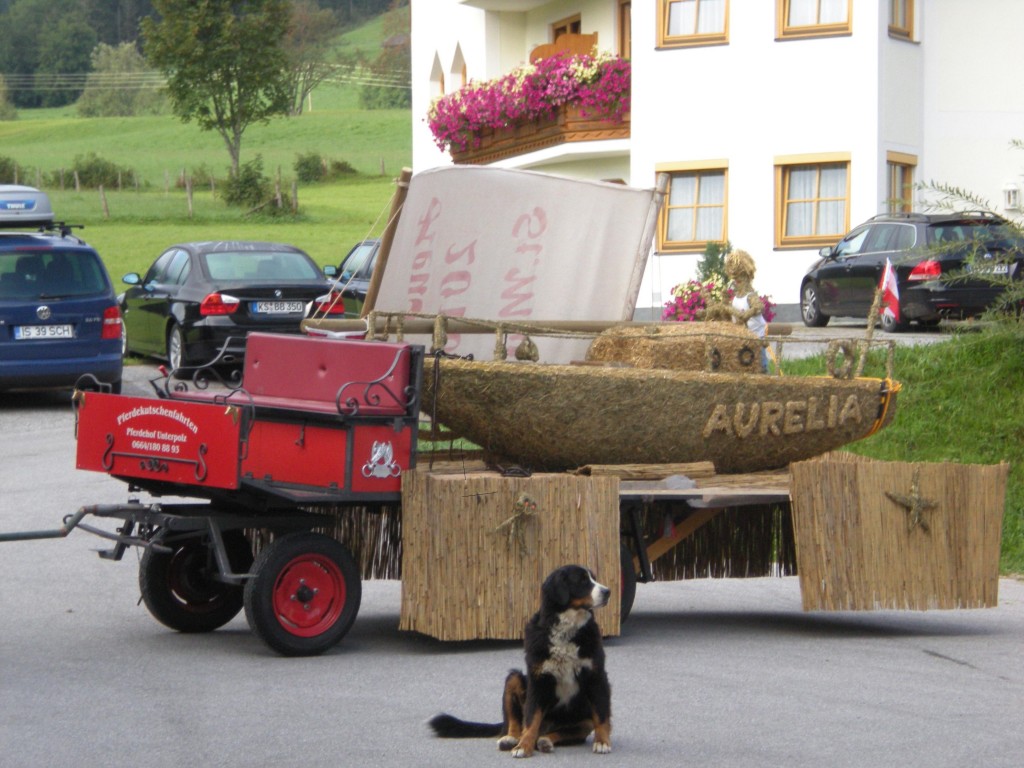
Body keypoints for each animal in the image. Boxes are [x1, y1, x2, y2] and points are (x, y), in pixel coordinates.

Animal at [428, 565, 610, 757]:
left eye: (593, 578)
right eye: (582, 581)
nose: (608, 592)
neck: (566, 632)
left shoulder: (596, 675)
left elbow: (602, 714)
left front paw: (602, 742)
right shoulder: (538, 680)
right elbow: (531, 719)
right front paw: (524, 746)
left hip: (584, 721)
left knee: (563, 732)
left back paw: (545, 741)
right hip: (514, 679)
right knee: (516, 724)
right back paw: (511, 739)